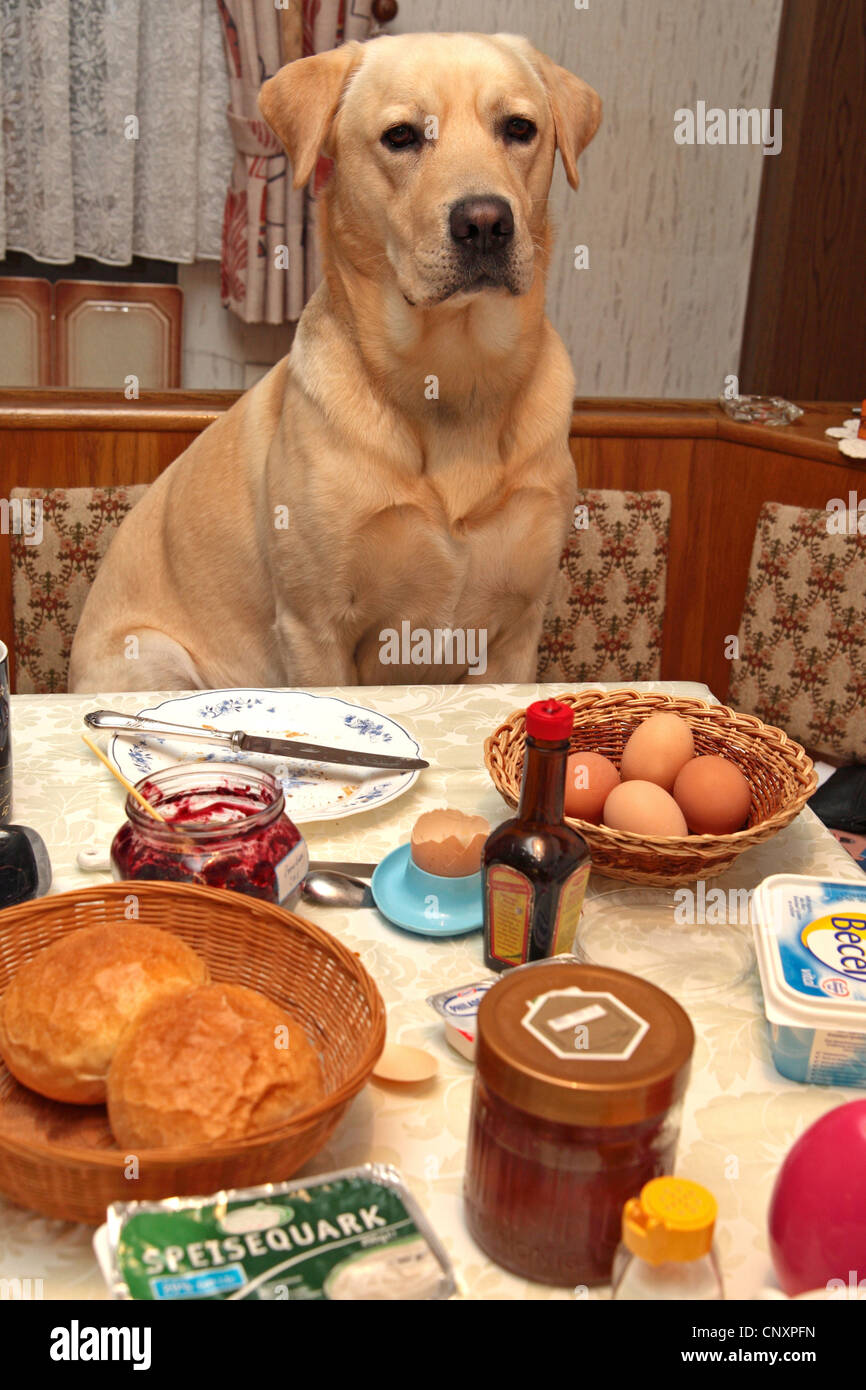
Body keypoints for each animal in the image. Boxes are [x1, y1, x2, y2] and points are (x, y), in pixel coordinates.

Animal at [67, 35, 600, 695]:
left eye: (520, 128)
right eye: (401, 136)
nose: (485, 222)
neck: (454, 374)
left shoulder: (514, 634)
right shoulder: (315, 629)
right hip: (156, 661)